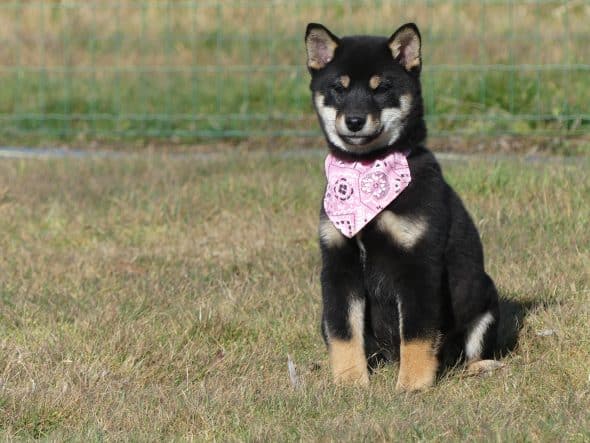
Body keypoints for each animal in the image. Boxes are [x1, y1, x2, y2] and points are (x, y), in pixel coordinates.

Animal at [308, 23, 502, 392]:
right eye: (338, 88)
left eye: (381, 88)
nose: (354, 120)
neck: (366, 170)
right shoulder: (338, 265)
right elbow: (343, 331)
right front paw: (349, 382)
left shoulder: (419, 264)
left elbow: (416, 332)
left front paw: (412, 385)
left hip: (483, 300)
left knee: (466, 354)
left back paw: (480, 368)